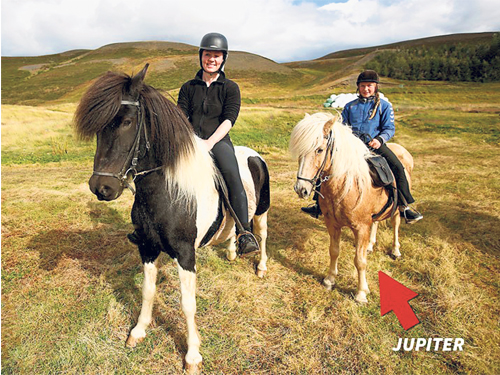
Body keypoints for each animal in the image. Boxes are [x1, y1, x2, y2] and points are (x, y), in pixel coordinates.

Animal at [74, 64, 270, 374]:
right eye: (99, 127)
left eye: (127, 121)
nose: (101, 188)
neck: (168, 192)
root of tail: (252, 154)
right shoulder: (146, 247)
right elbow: (147, 290)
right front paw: (138, 331)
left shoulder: (186, 254)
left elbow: (187, 303)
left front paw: (192, 356)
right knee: (234, 229)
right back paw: (232, 251)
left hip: (262, 212)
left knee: (261, 235)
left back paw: (260, 264)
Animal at [290, 113, 414, 304]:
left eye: (319, 150)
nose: (301, 189)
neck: (345, 186)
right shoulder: (332, 224)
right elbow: (334, 251)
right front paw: (330, 279)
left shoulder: (361, 227)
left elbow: (359, 261)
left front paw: (361, 292)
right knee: (376, 223)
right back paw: (370, 245)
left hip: (397, 209)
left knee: (395, 224)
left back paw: (395, 250)